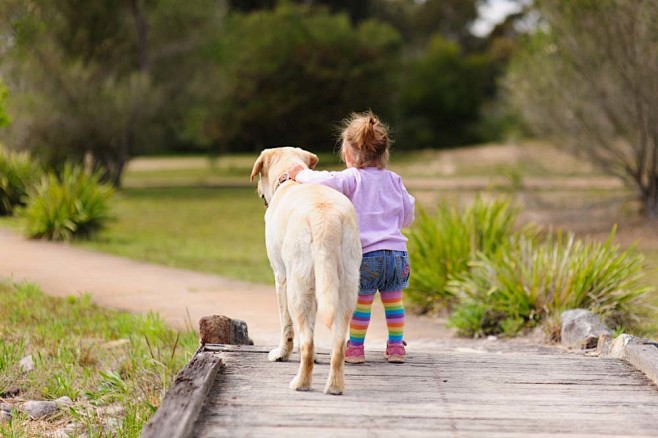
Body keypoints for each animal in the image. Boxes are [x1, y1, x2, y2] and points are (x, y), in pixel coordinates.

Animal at [249, 148, 358, 396]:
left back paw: (301, 383)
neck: (288, 179)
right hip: (346, 286)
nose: (258, 189)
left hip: (298, 287)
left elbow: (287, 326)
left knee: (307, 342)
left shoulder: (281, 277)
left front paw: (282, 354)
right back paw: (335, 386)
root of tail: (325, 218)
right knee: (338, 344)